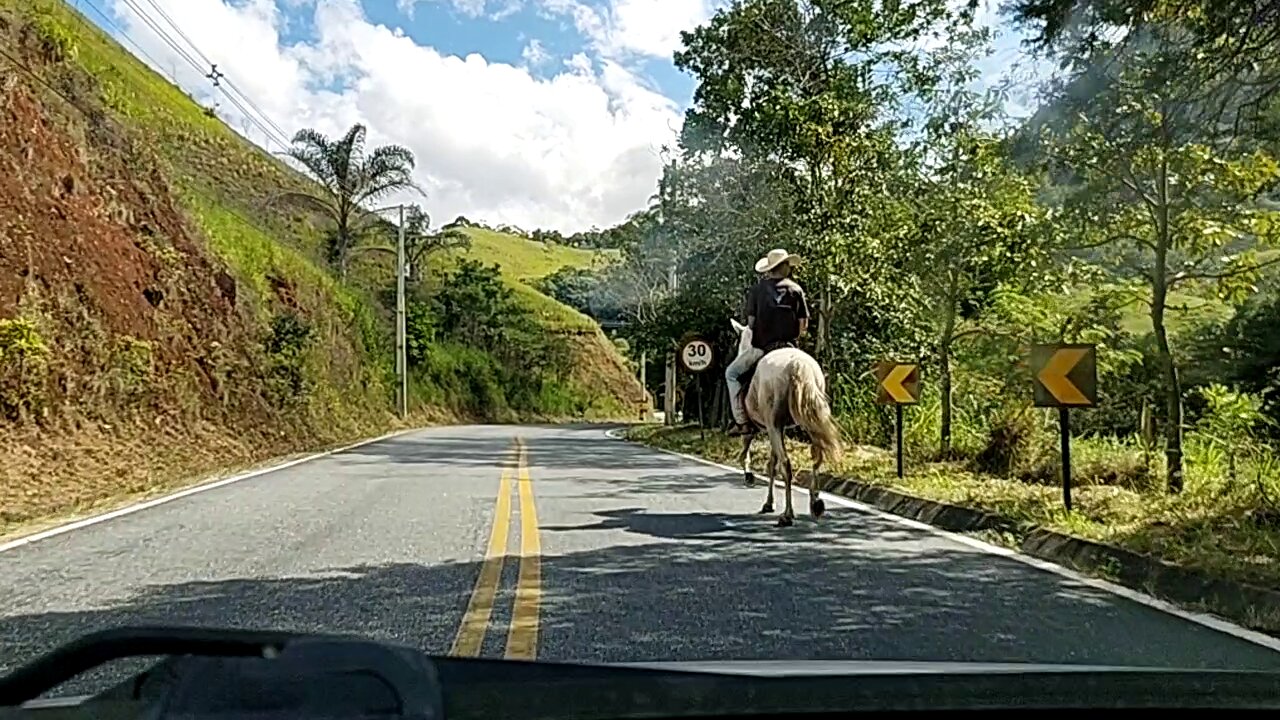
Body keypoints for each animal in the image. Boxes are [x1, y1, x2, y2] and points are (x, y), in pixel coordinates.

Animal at [732, 316, 839, 525]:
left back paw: (788, 514)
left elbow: (766, 461)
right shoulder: (776, 428)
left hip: (774, 425)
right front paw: (768, 502)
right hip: (810, 420)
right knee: (817, 457)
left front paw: (757, 487)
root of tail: (798, 364)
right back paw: (815, 504)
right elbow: (771, 463)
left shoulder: (770, 427)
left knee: (786, 464)